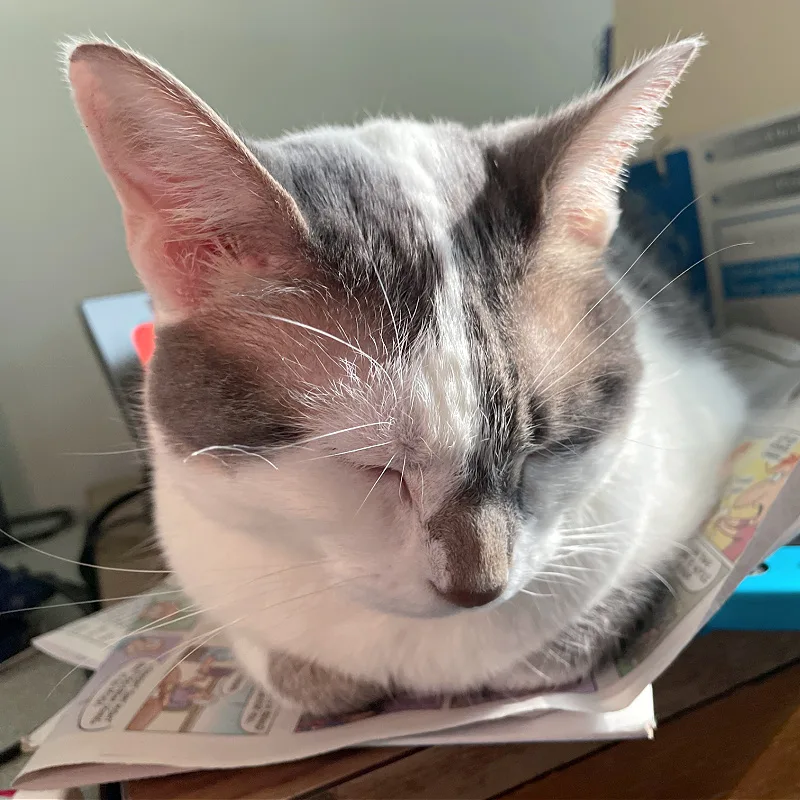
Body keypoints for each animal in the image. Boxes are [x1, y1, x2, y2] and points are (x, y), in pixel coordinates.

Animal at [65, 36, 748, 712]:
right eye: (370, 465)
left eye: (546, 450)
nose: (478, 590)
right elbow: (289, 666)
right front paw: (327, 680)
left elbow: (572, 633)